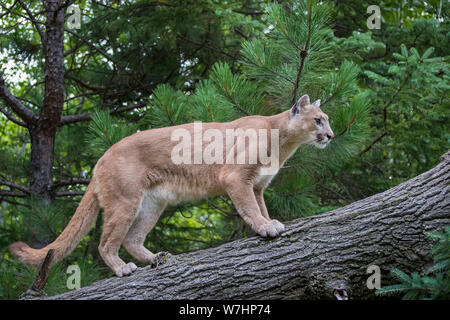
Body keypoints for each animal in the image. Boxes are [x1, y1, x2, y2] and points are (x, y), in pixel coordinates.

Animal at [9, 94, 334, 276]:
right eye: (319, 120)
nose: (331, 135)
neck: (282, 139)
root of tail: (102, 157)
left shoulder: (257, 186)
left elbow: (262, 207)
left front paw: (270, 222)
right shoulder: (236, 178)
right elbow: (251, 210)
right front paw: (266, 228)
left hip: (152, 204)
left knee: (131, 239)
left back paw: (156, 259)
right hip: (125, 201)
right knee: (106, 242)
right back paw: (123, 269)